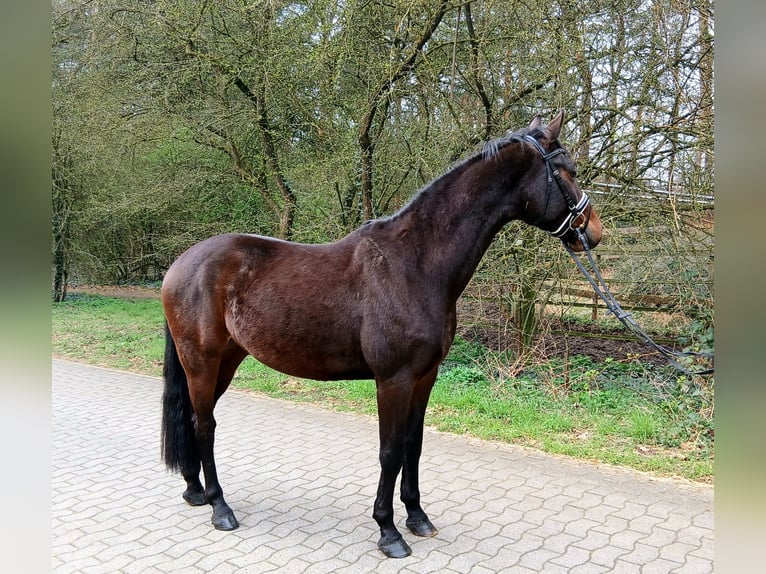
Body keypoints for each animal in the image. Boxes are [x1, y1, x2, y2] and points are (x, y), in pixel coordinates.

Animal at [160, 110, 603, 558]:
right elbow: (390, 452)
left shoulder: (425, 377)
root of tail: (180, 264)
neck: (415, 265)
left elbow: (413, 445)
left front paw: (417, 517)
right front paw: (388, 531)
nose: (594, 230)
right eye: (566, 171)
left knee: (194, 417)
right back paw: (220, 506)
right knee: (204, 424)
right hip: (201, 361)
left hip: (227, 360)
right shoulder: (394, 379)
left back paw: (195, 491)